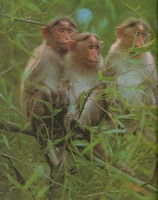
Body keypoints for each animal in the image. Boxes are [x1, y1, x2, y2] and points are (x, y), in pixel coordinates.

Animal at [20, 16, 78, 166]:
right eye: (61, 30)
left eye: (70, 31)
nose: (67, 37)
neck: (58, 54)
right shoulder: (43, 55)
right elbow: (28, 85)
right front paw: (55, 94)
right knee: (40, 95)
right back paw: (43, 130)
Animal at [103, 17, 157, 181]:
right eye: (137, 34)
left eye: (144, 35)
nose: (141, 41)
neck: (130, 54)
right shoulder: (113, 54)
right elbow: (106, 81)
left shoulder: (149, 60)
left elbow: (154, 87)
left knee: (147, 88)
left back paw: (135, 123)